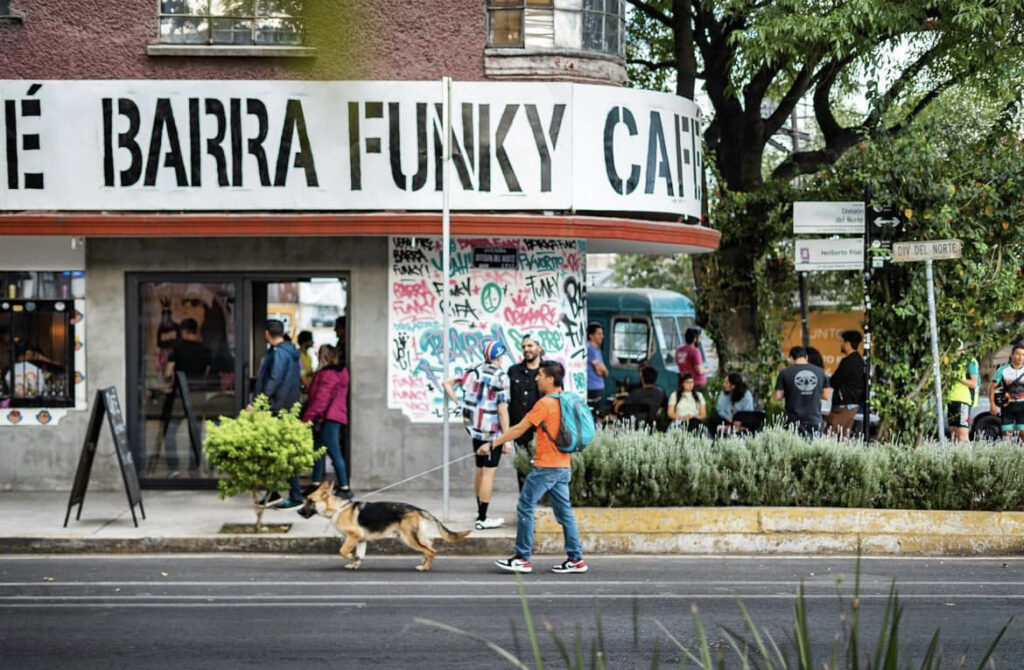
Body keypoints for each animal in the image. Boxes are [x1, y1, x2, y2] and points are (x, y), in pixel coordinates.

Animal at [296, 483, 471, 573]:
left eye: (310, 501)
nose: (297, 512)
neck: (338, 508)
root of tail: (417, 508)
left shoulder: (352, 537)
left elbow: (343, 551)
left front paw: (352, 559)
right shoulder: (361, 540)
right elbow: (359, 555)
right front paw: (355, 564)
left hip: (408, 539)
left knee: (431, 550)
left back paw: (425, 567)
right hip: (412, 537)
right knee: (430, 545)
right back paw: (423, 561)